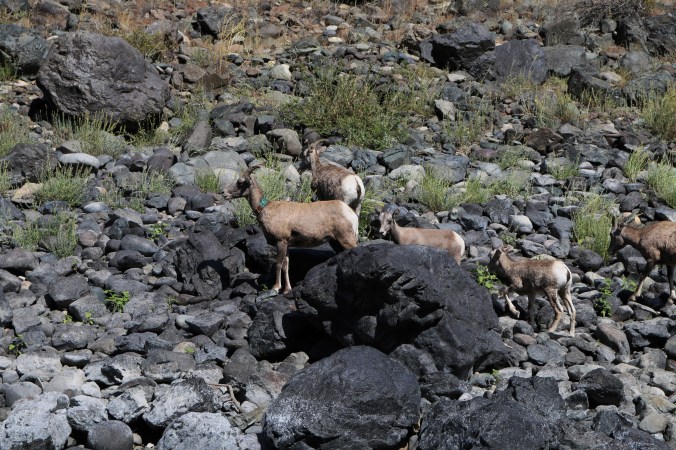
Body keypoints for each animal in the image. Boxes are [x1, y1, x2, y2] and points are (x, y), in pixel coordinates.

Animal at [223, 165, 358, 294]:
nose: (223, 192)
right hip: (336, 242)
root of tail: (351, 214)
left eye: (240, 182)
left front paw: (276, 288)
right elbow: (285, 266)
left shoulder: (281, 242)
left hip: (346, 239)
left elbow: (278, 264)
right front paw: (287, 289)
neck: (265, 208)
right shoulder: (287, 245)